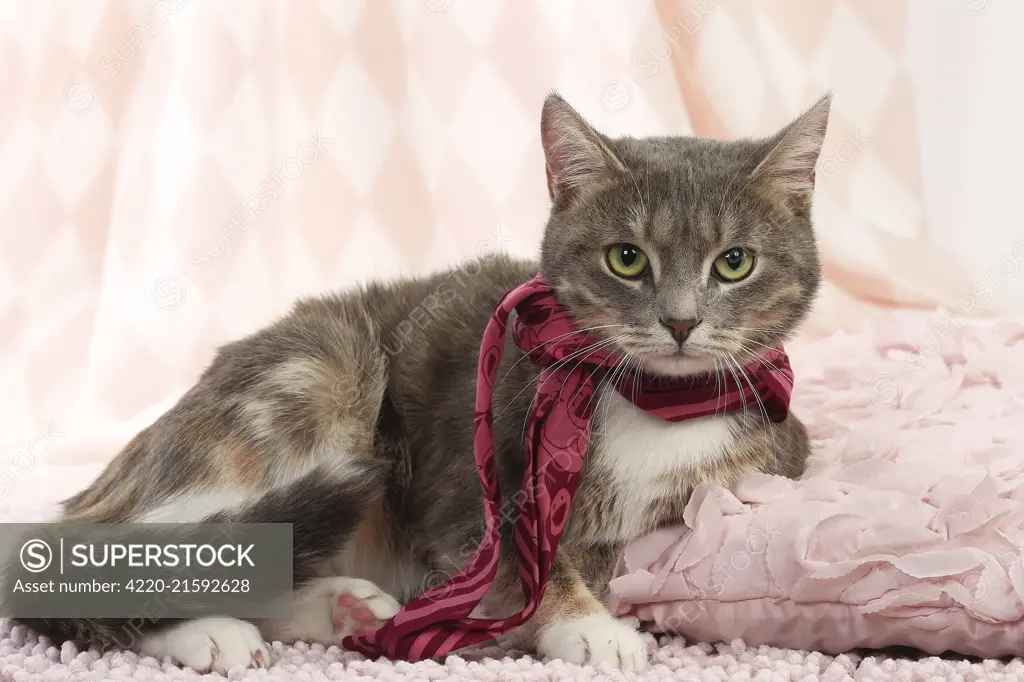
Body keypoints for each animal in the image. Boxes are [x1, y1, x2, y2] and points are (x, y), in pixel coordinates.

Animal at [12, 90, 827, 667]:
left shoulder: (772, 452)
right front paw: (588, 627)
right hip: (319, 375)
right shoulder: (469, 497)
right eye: (626, 259)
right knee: (103, 556)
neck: (654, 399)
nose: (681, 322)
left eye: (734, 263)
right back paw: (207, 631)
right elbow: (533, 564)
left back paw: (340, 610)